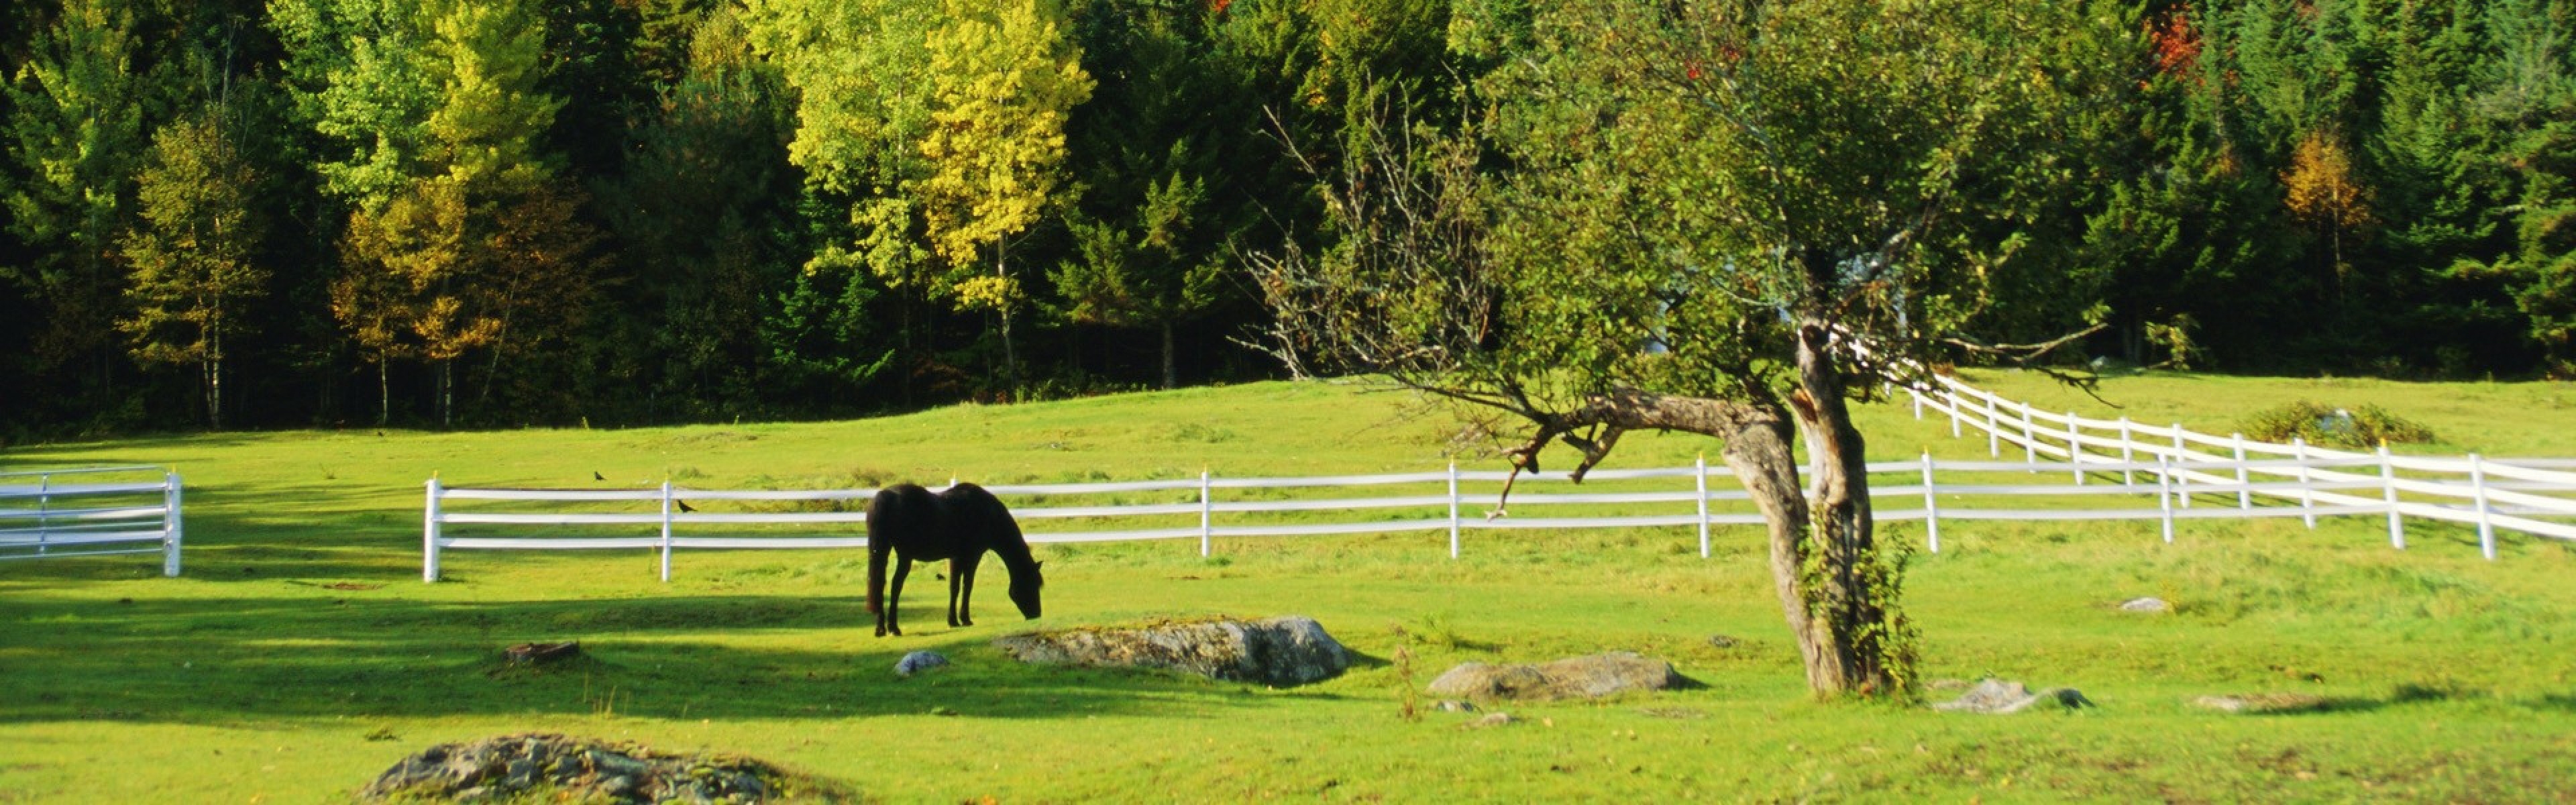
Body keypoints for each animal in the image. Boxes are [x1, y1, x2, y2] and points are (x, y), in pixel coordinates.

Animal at [855, 480, 1035, 637]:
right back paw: (894, 628)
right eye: (1033, 584)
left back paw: (881, 629)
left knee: (879, 584)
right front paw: (964, 619)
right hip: (905, 556)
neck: (986, 513)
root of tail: (884, 496)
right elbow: (967, 586)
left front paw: (953, 620)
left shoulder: (956, 557)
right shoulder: (972, 556)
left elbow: (954, 587)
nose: (1036, 614)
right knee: (895, 586)